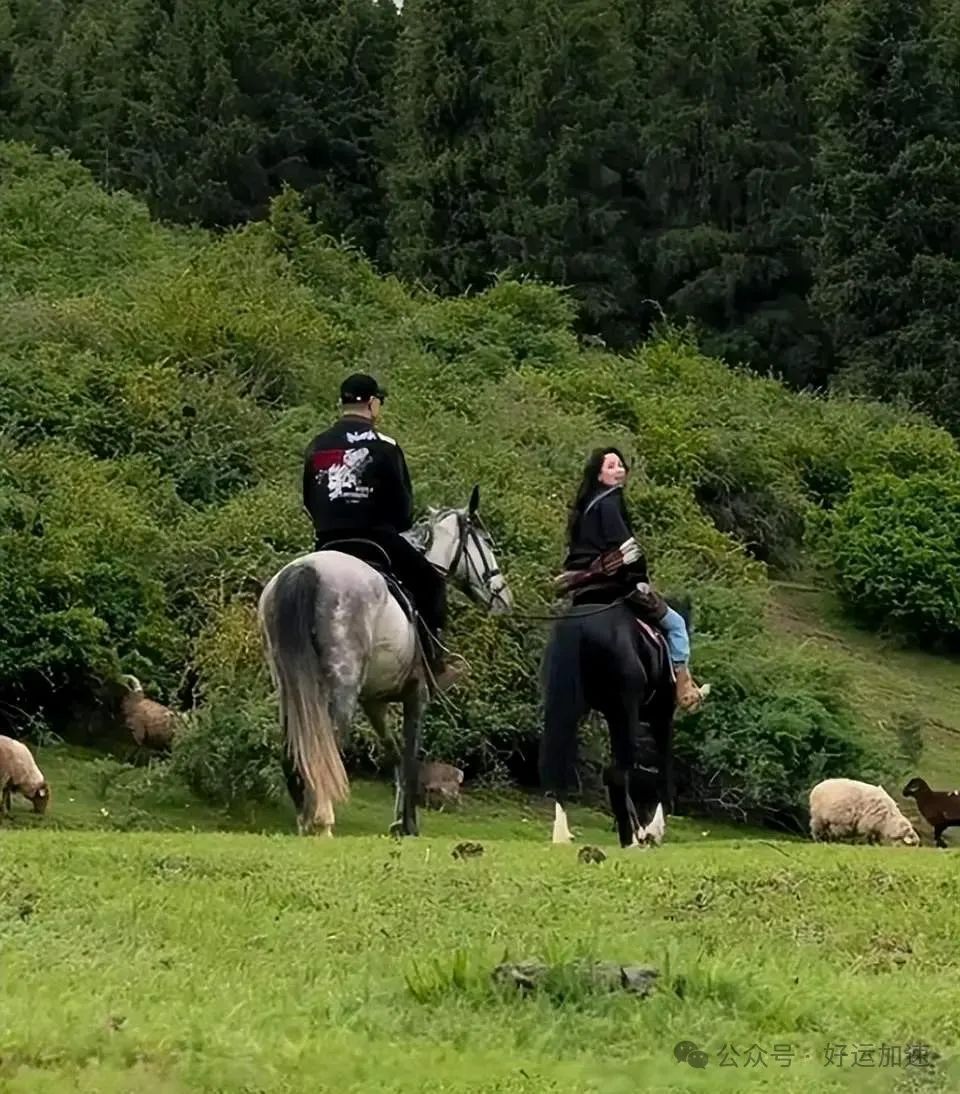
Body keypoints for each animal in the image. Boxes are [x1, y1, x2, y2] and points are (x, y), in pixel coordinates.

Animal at [255, 487, 511, 835]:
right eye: (487, 543)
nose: (504, 597)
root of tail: (306, 570)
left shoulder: (374, 702)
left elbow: (395, 755)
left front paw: (398, 821)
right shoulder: (417, 694)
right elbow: (411, 757)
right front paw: (409, 825)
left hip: (290, 687)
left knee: (296, 746)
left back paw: (305, 819)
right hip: (341, 689)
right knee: (328, 742)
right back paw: (322, 820)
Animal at [537, 595, 695, 848]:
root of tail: (578, 627)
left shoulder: (613, 715)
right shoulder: (661, 717)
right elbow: (664, 769)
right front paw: (654, 830)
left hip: (566, 706)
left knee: (559, 767)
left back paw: (563, 834)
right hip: (626, 710)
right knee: (618, 772)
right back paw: (631, 837)